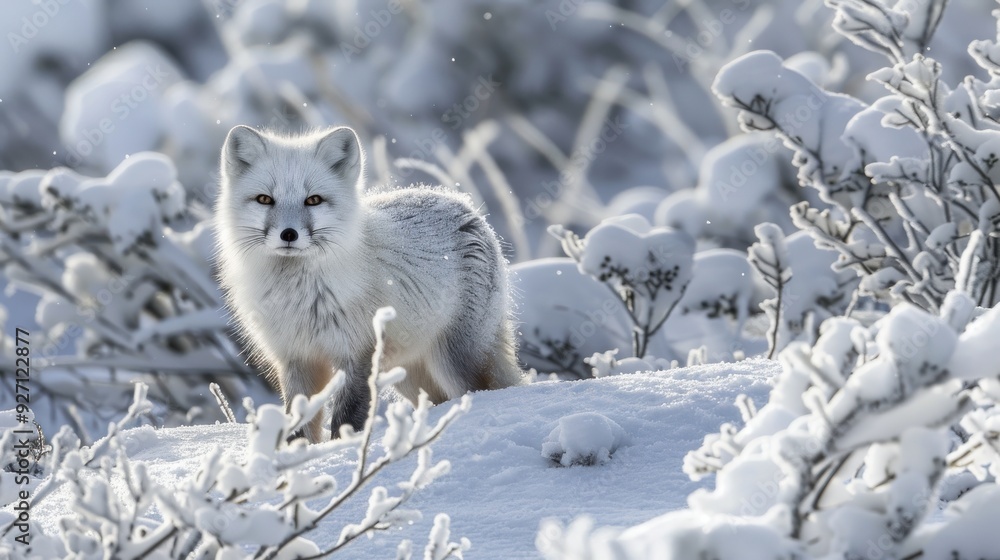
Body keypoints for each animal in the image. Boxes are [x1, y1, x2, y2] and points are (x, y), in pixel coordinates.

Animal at [214, 125, 523, 442]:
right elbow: (298, 423)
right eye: (265, 199)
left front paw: (340, 450)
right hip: (409, 374)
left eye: (313, 200)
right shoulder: (297, 358)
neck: (298, 293)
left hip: (454, 361)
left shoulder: (358, 356)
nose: (289, 234)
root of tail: (464, 204)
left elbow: (346, 419)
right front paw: (299, 453)